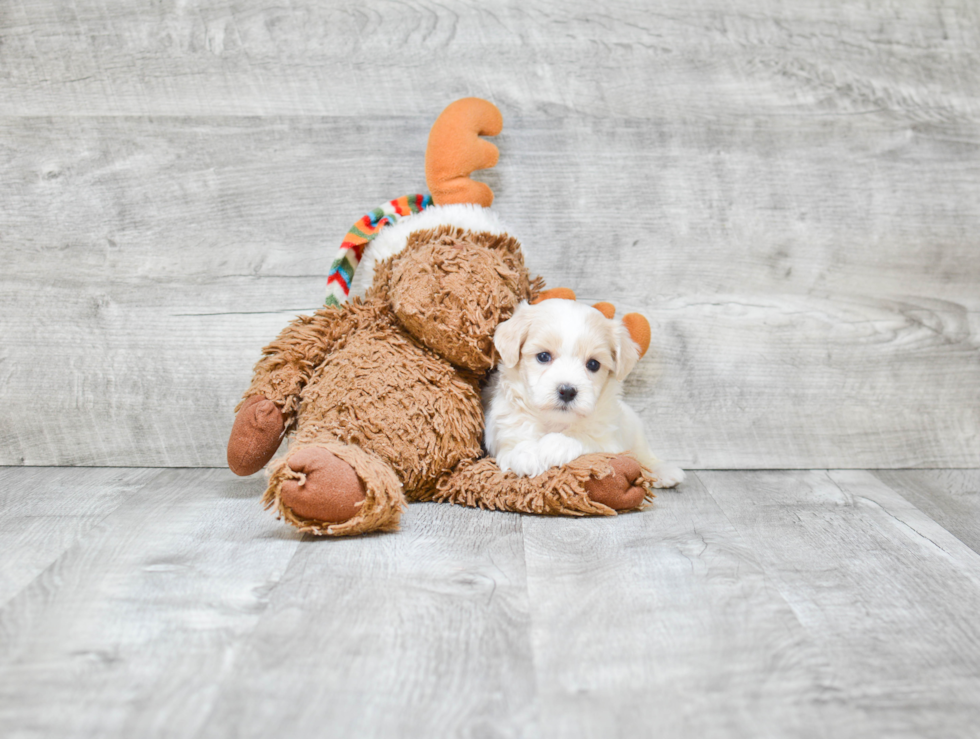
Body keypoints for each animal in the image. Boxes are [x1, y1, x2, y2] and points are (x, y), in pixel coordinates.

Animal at [480, 300, 680, 486]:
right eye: (543, 356)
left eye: (593, 364)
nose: (567, 391)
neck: (555, 422)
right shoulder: (503, 433)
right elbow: (516, 442)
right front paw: (526, 454)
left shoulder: (610, 442)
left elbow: (585, 438)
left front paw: (554, 444)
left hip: (636, 432)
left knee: (645, 455)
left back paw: (664, 471)